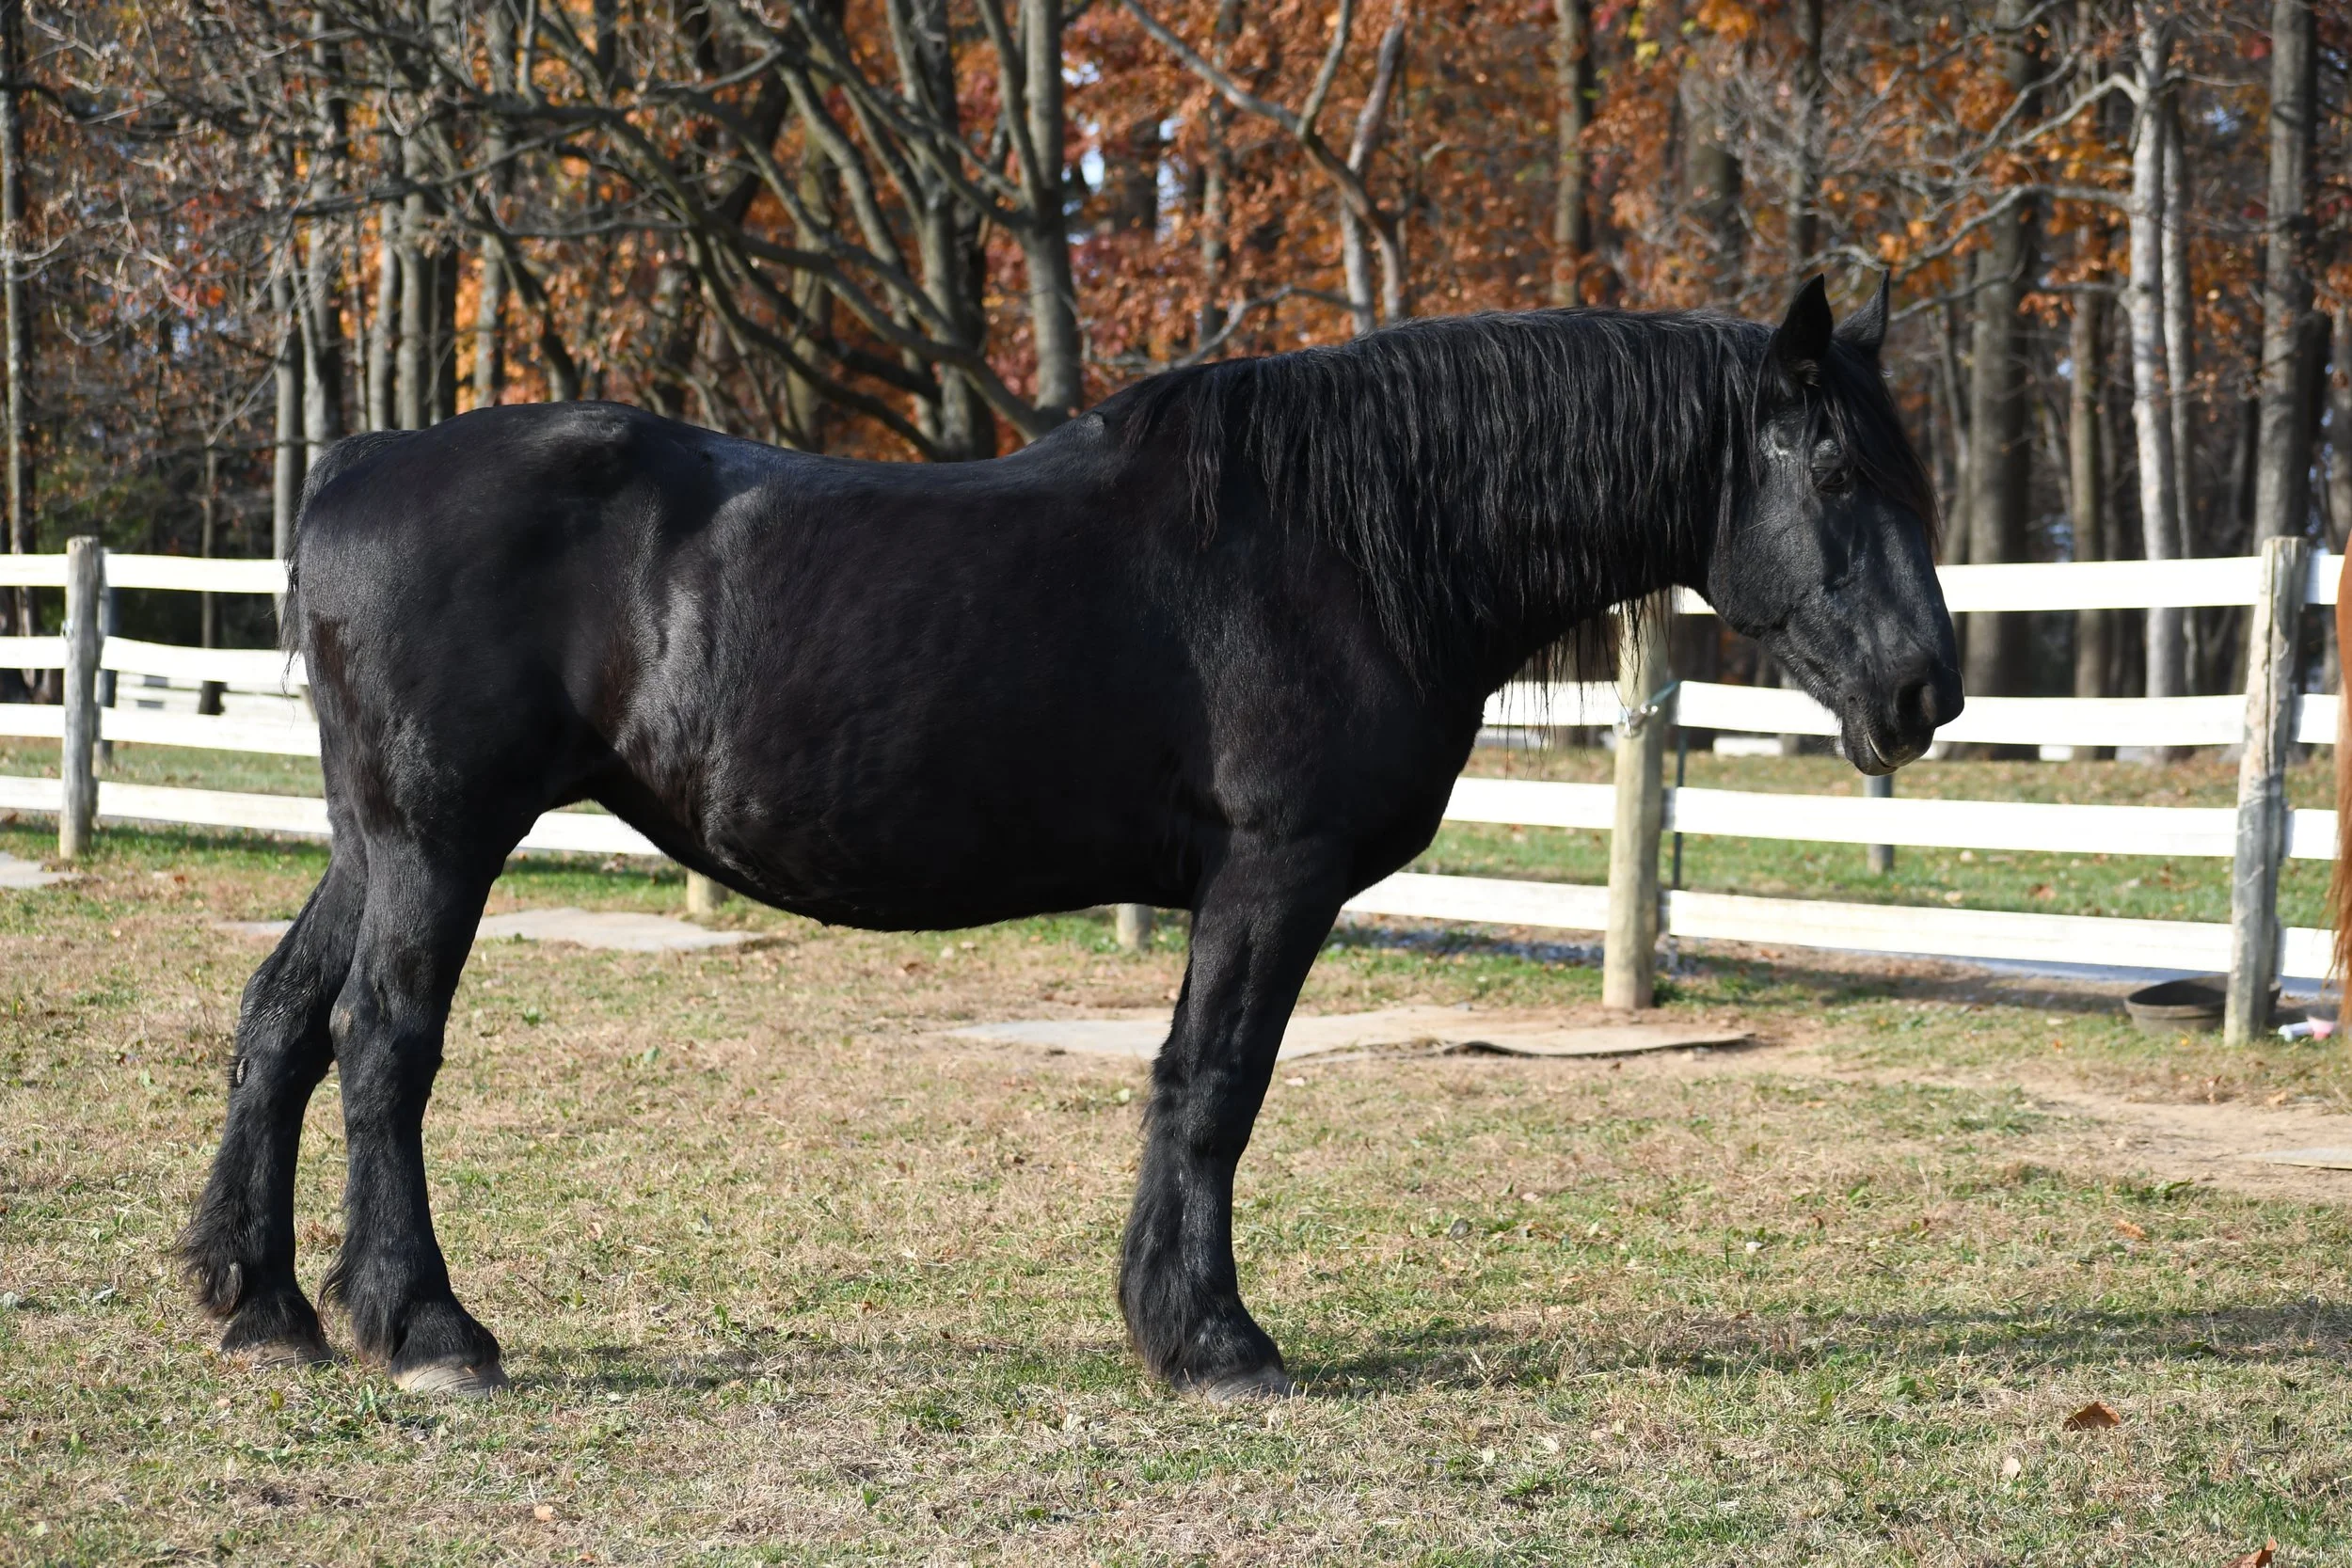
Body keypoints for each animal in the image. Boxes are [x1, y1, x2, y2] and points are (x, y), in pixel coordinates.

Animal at [178, 276, 1961, 1400]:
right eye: (1835, 466)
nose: (1924, 687)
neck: (1349, 542)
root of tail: (351, 472)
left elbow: (1192, 1088)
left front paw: (1168, 1318)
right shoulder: (1270, 879)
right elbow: (1216, 1086)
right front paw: (1214, 1340)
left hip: (376, 840)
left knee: (279, 1023)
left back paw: (262, 1303)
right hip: (441, 839)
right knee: (384, 1046)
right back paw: (427, 1327)